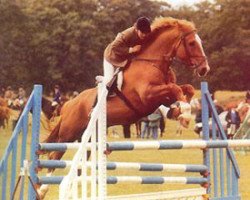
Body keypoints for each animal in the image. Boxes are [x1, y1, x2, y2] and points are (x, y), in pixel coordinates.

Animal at [37, 17, 209, 198]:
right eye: (191, 43)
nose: (205, 69)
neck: (152, 63)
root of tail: (68, 104)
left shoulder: (161, 96)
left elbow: (187, 89)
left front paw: (180, 113)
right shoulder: (148, 95)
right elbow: (175, 89)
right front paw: (184, 114)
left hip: (88, 139)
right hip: (69, 133)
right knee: (54, 155)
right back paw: (42, 190)